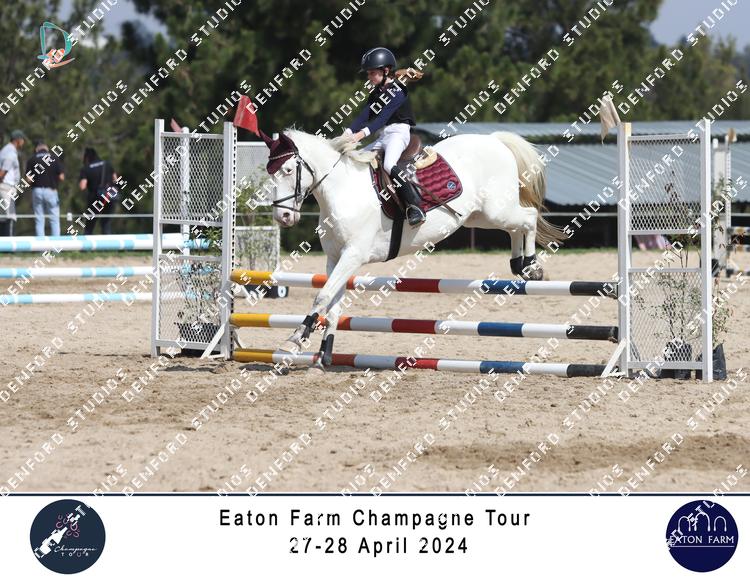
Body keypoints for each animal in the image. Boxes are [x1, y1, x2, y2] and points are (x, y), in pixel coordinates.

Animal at [265, 129, 562, 367]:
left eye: (288, 170)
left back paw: (531, 266)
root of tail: (494, 140)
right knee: (516, 226)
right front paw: (324, 354)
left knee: (528, 217)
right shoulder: (335, 258)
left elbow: (322, 296)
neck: (343, 191)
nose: (284, 217)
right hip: (482, 216)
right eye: (270, 173)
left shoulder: (353, 255)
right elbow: (333, 304)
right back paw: (518, 264)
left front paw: (295, 338)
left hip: (496, 210)